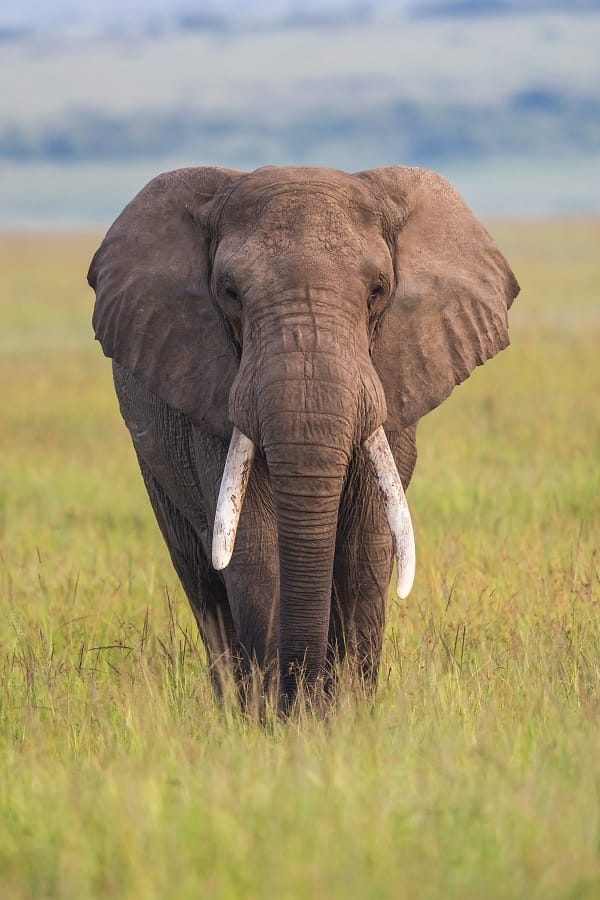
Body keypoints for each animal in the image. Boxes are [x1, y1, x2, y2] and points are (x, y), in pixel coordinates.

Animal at [86, 165, 516, 712]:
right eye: (229, 292)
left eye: (377, 291)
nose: (301, 696)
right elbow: (253, 546)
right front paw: (280, 719)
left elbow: (365, 544)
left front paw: (345, 716)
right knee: (201, 581)